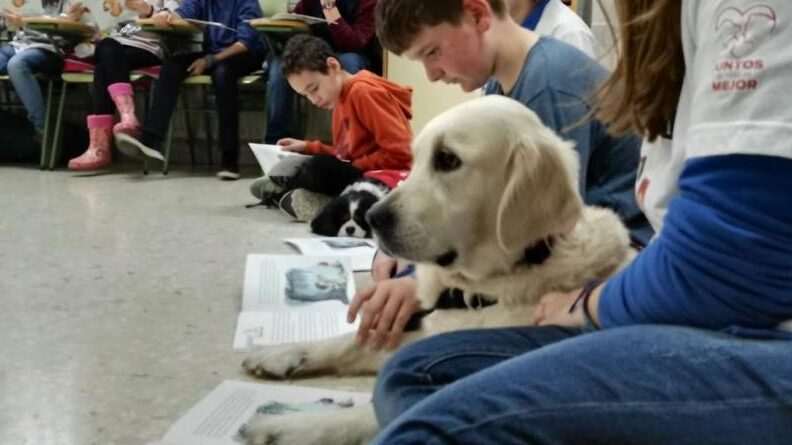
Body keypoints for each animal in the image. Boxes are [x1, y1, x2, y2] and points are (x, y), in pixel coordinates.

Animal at [238, 94, 636, 444]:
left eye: (447, 159)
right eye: (415, 160)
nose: (373, 218)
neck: (486, 290)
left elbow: (370, 412)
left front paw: (286, 427)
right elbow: (348, 342)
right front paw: (280, 352)